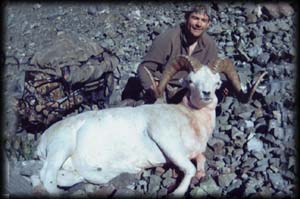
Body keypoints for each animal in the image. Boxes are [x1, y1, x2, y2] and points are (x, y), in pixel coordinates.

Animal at [35, 55, 268, 196]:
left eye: (217, 82)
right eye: (191, 81)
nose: (206, 94)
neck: (189, 119)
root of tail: (43, 139)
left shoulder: (193, 152)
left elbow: (200, 162)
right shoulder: (167, 142)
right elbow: (190, 169)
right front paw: (177, 192)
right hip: (61, 147)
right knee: (46, 176)